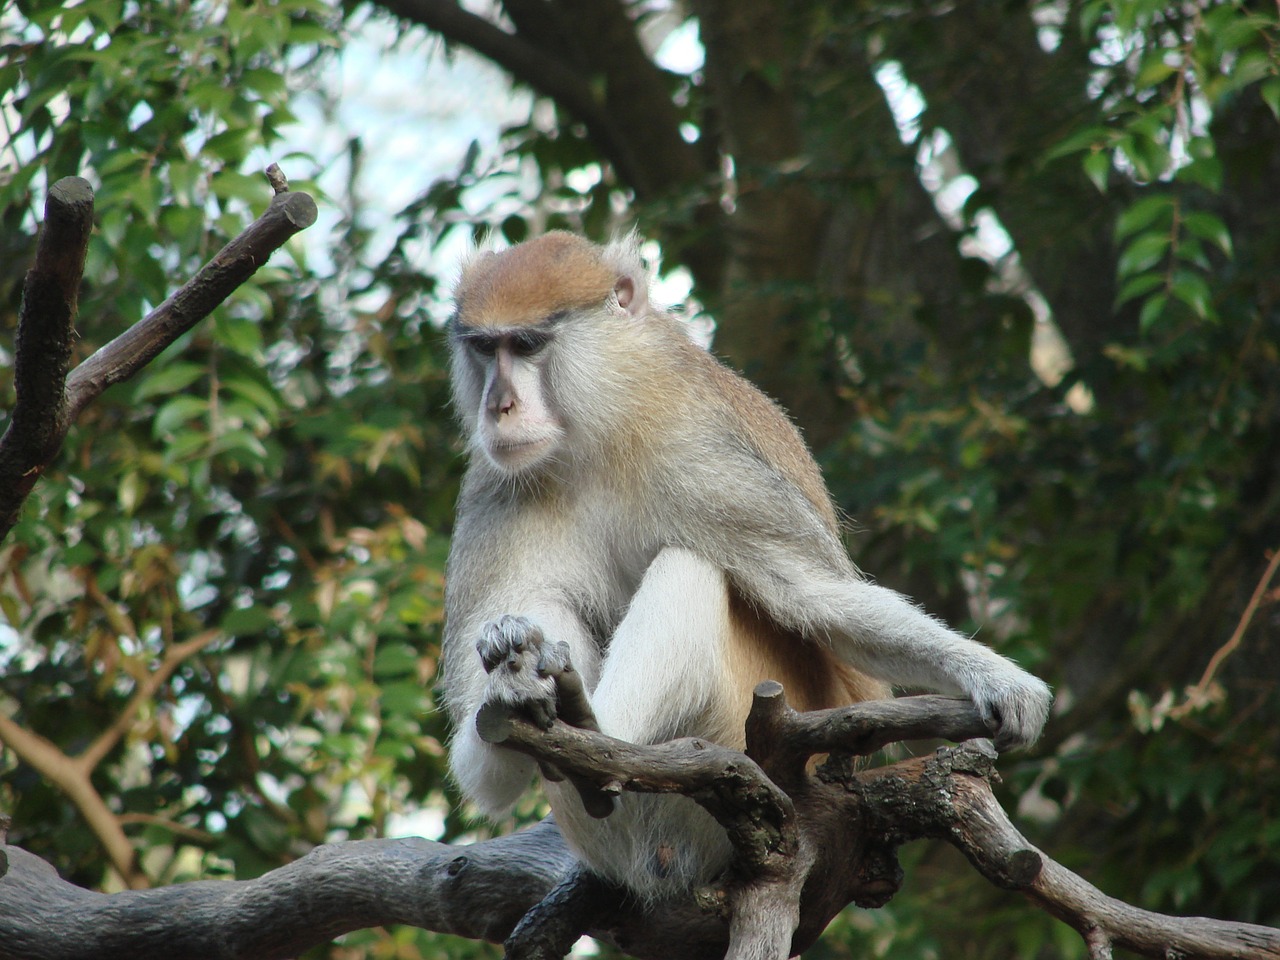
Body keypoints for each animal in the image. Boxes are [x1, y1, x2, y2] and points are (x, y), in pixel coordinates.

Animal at [440, 231, 1049, 901]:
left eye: (527, 345)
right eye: (484, 348)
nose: (500, 406)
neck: (598, 425)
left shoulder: (697, 455)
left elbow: (819, 600)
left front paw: (996, 678)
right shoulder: (498, 485)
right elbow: (478, 768)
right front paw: (505, 667)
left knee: (691, 565)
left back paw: (592, 730)